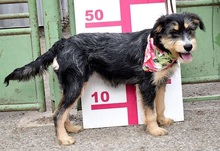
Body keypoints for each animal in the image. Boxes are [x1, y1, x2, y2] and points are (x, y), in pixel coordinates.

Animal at [4, 13, 205, 145]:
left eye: (190, 30)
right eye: (174, 32)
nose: (188, 46)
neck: (158, 46)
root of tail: (63, 42)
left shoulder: (160, 83)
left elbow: (160, 106)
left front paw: (162, 121)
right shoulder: (147, 85)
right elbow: (150, 111)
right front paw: (154, 129)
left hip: (71, 86)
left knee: (62, 110)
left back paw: (70, 129)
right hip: (76, 85)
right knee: (58, 113)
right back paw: (63, 139)